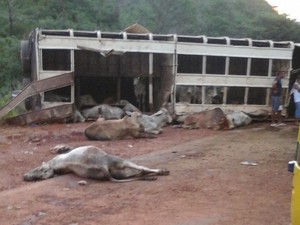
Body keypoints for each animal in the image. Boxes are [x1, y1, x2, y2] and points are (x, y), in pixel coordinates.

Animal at [23, 145, 169, 182]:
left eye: (39, 170)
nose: (25, 176)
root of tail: (102, 167)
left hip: (118, 171)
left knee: (137, 173)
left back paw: (151, 176)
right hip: (119, 162)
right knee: (141, 169)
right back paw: (160, 172)